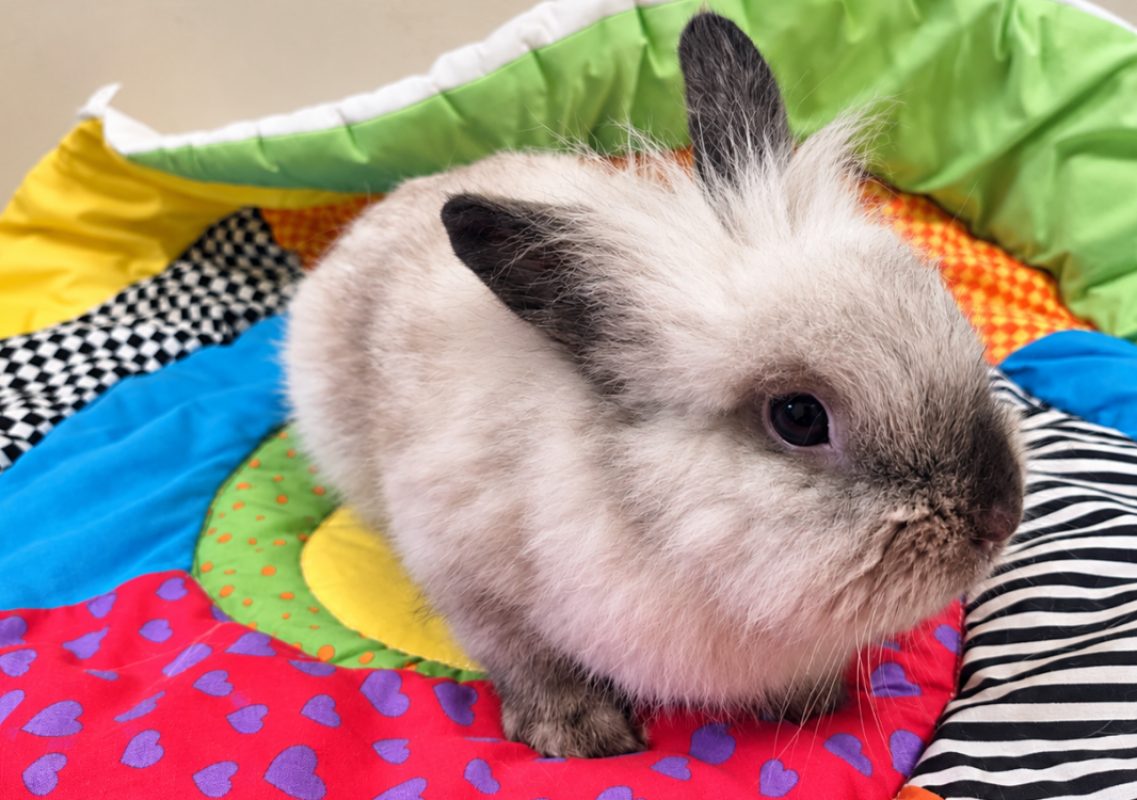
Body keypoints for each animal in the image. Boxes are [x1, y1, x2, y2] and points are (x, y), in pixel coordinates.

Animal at [284, 11, 1024, 758]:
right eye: (798, 416)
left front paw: (810, 701)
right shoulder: (466, 572)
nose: (1000, 515)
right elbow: (525, 660)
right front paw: (581, 735)